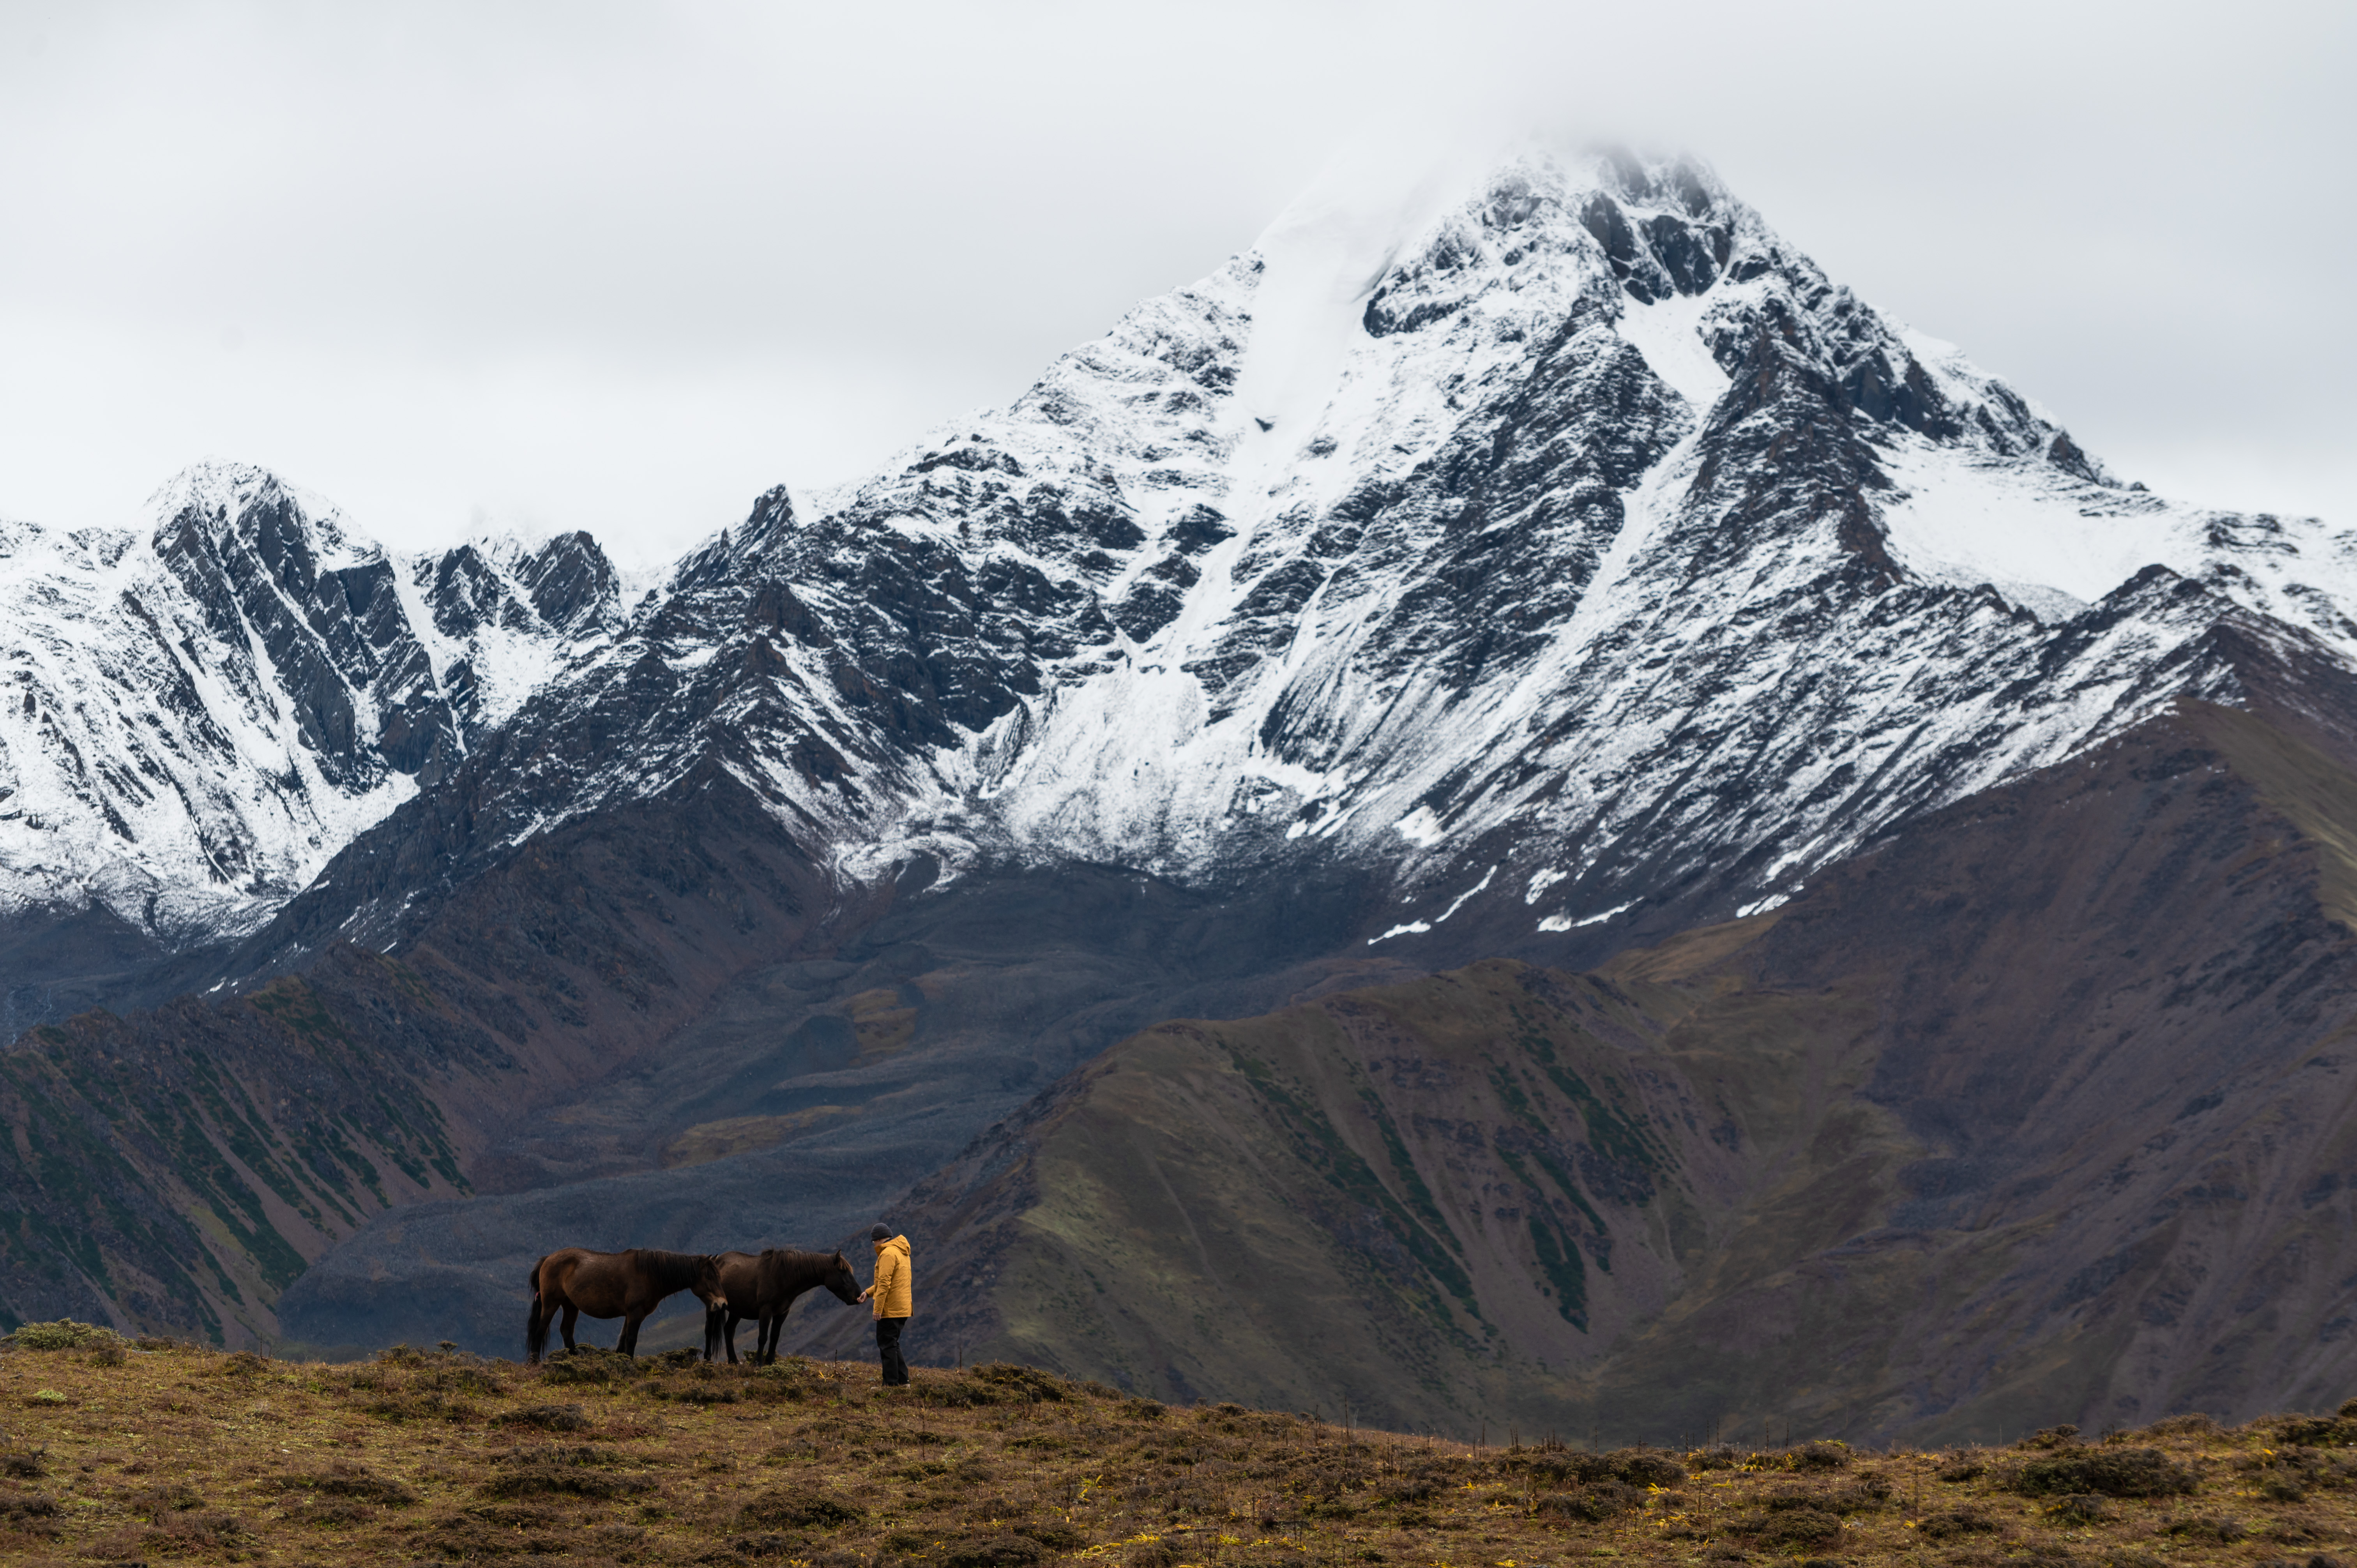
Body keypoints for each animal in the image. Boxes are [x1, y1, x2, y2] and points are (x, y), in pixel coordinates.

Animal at [525, 1245, 726, 1367]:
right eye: (709, 1277)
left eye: (719, 1276)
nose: (722, 1304)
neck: (650, 1275)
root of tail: (547, 1259)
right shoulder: (636, 1313)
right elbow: (631, 1339)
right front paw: (629, 1363)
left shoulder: (630, 1315)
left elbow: (622, 1340)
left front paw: (620, 1361)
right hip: (551, 1303)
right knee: (541, 1329)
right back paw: (534, 1362)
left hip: (571, 1305)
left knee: (566, 1331)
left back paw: (575, 1361)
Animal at [702, 1245, 862, 1358]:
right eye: (842, 1271)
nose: (858, 1295)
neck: (783, 1276)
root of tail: (717, 1260)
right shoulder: (766, 1310)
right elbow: (763, 1338)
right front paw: (758, 1364)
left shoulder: (783, 1312)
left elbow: (775, 1337)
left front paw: (769, 1362)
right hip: (713, 1307)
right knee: (709, 1329)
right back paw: (708, 1358)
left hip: (737, 1311)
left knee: (729, 1331)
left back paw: (734, 1361)